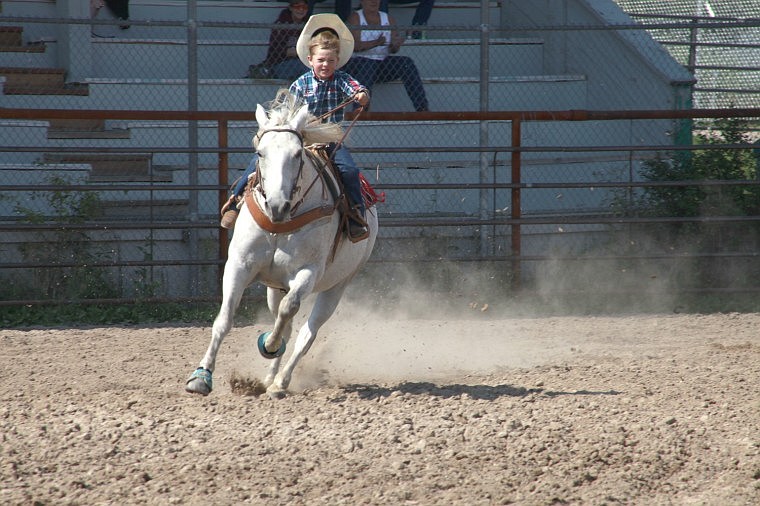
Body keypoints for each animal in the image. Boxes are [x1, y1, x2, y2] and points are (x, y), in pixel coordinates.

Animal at [186, 92, 378, 400]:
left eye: (297, 154)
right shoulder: (238, 265)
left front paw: (270, 344)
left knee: (306, 334)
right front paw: (201, 378)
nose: (277, 205)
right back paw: (268, 378)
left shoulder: (308, 272)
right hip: (274, 287)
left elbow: (290, 312)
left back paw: (280, 383)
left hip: (337, 286)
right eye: (260, 153)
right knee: (287, 325)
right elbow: (224, 319)